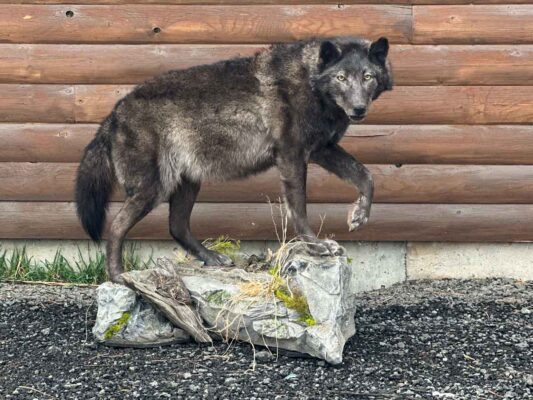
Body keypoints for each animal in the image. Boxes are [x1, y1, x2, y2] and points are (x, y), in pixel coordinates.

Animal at [76, 36, 390, 282]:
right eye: (341, 78)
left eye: (367, 77)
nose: (358, 109)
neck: (311, 82)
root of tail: (114, 113)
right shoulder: (292, 156)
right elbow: (299, 208)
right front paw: (314, 246)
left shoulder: (322, 149)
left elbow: (367, 176)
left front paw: (359, 215)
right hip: (153, 190)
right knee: (117, 226)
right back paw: (118, 277)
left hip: (187, 183)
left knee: (176, 226)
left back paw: (211, 258)